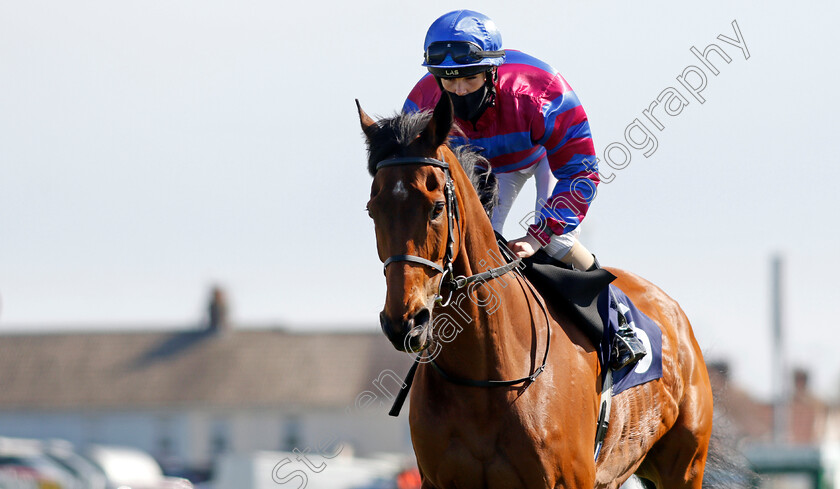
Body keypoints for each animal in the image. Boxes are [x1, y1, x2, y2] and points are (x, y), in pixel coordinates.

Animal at [360, 92, 716, 488]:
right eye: (372, 209)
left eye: (437, 207)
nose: (404, 323)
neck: (484, 377)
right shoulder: (437, 480)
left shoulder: (568, 479)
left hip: (685, 466)